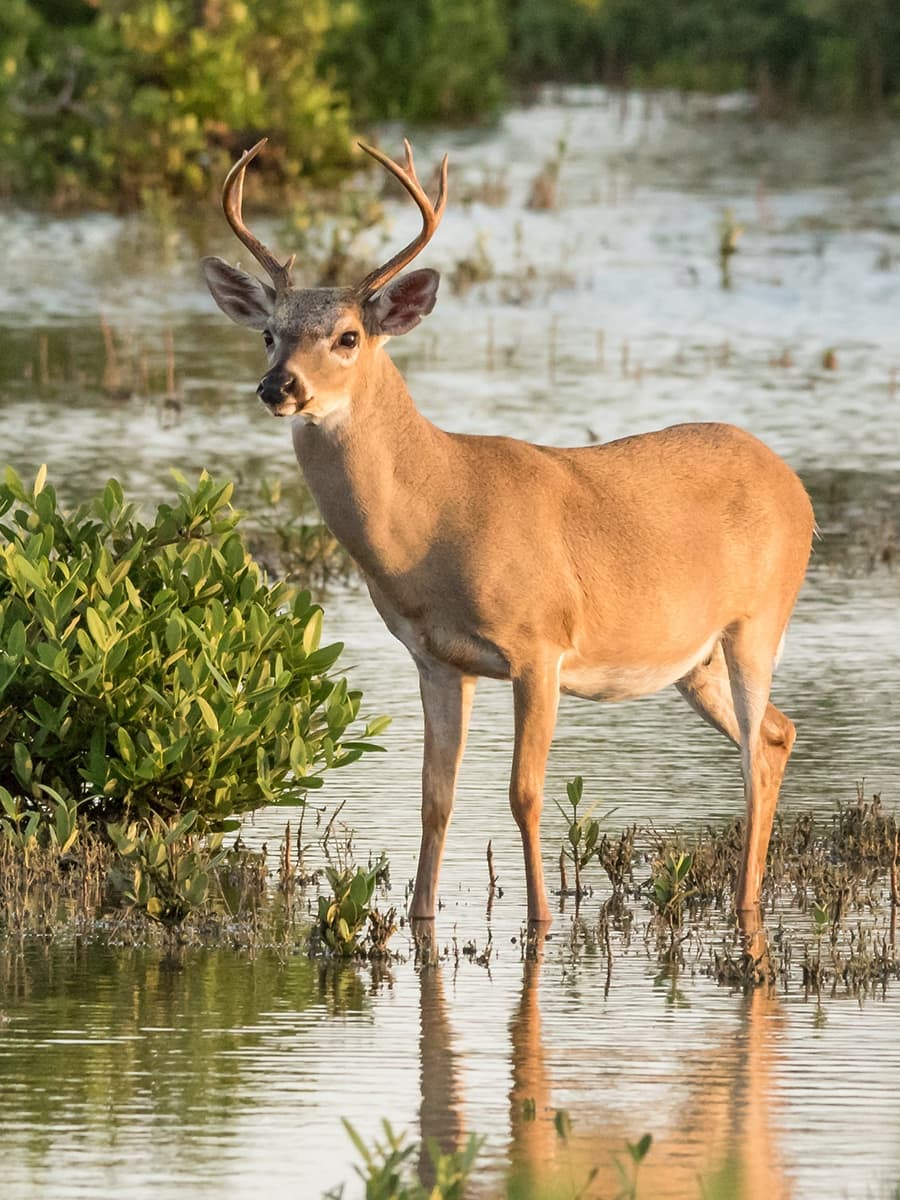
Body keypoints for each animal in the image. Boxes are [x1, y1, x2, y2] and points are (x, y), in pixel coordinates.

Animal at [201, 138, 814, 926]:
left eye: (348, 337)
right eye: (269, 333)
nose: (280, 386)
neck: (436, 518)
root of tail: (793, 485)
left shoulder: (539, 644)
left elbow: (524, 793)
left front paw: (542, 920)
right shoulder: (435, 658)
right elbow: (435, 797)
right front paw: (421, 916)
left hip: (758, 622)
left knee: (754, 753)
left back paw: (744, 904)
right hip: (694, 660)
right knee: (776, 733)